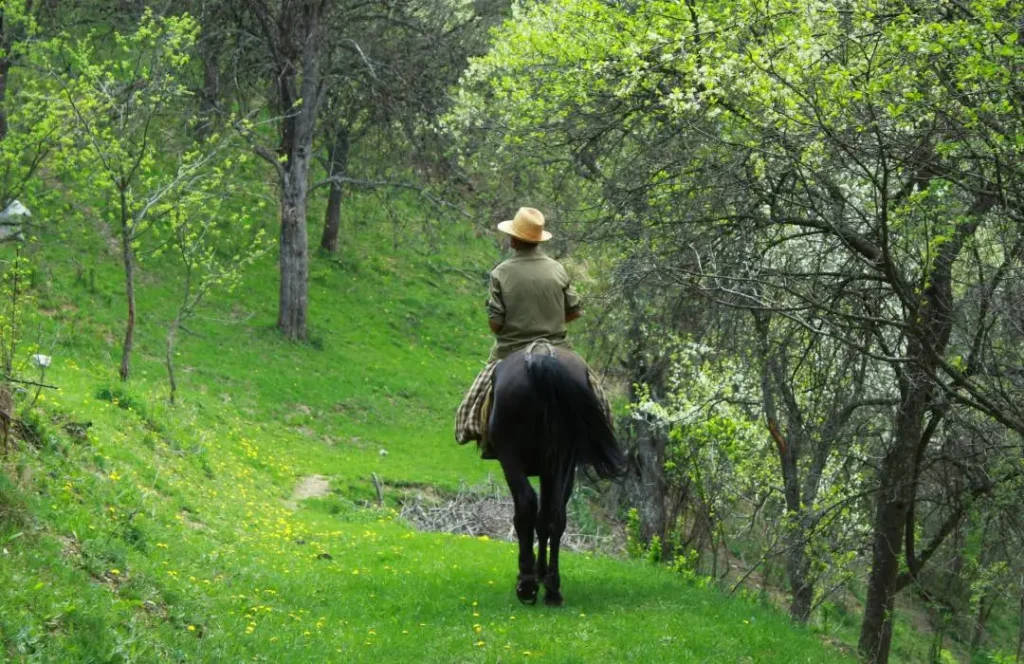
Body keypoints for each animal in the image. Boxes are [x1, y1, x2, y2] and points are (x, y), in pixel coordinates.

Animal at [487, 342, 622, 606]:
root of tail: (540, 357)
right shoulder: (552, 468)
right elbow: (546, 519)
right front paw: (543, 575)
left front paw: (531, 575)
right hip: (562, 459)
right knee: (556, 515)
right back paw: (552, 589)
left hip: (510, 456)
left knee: (526, 506)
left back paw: (527, 585)